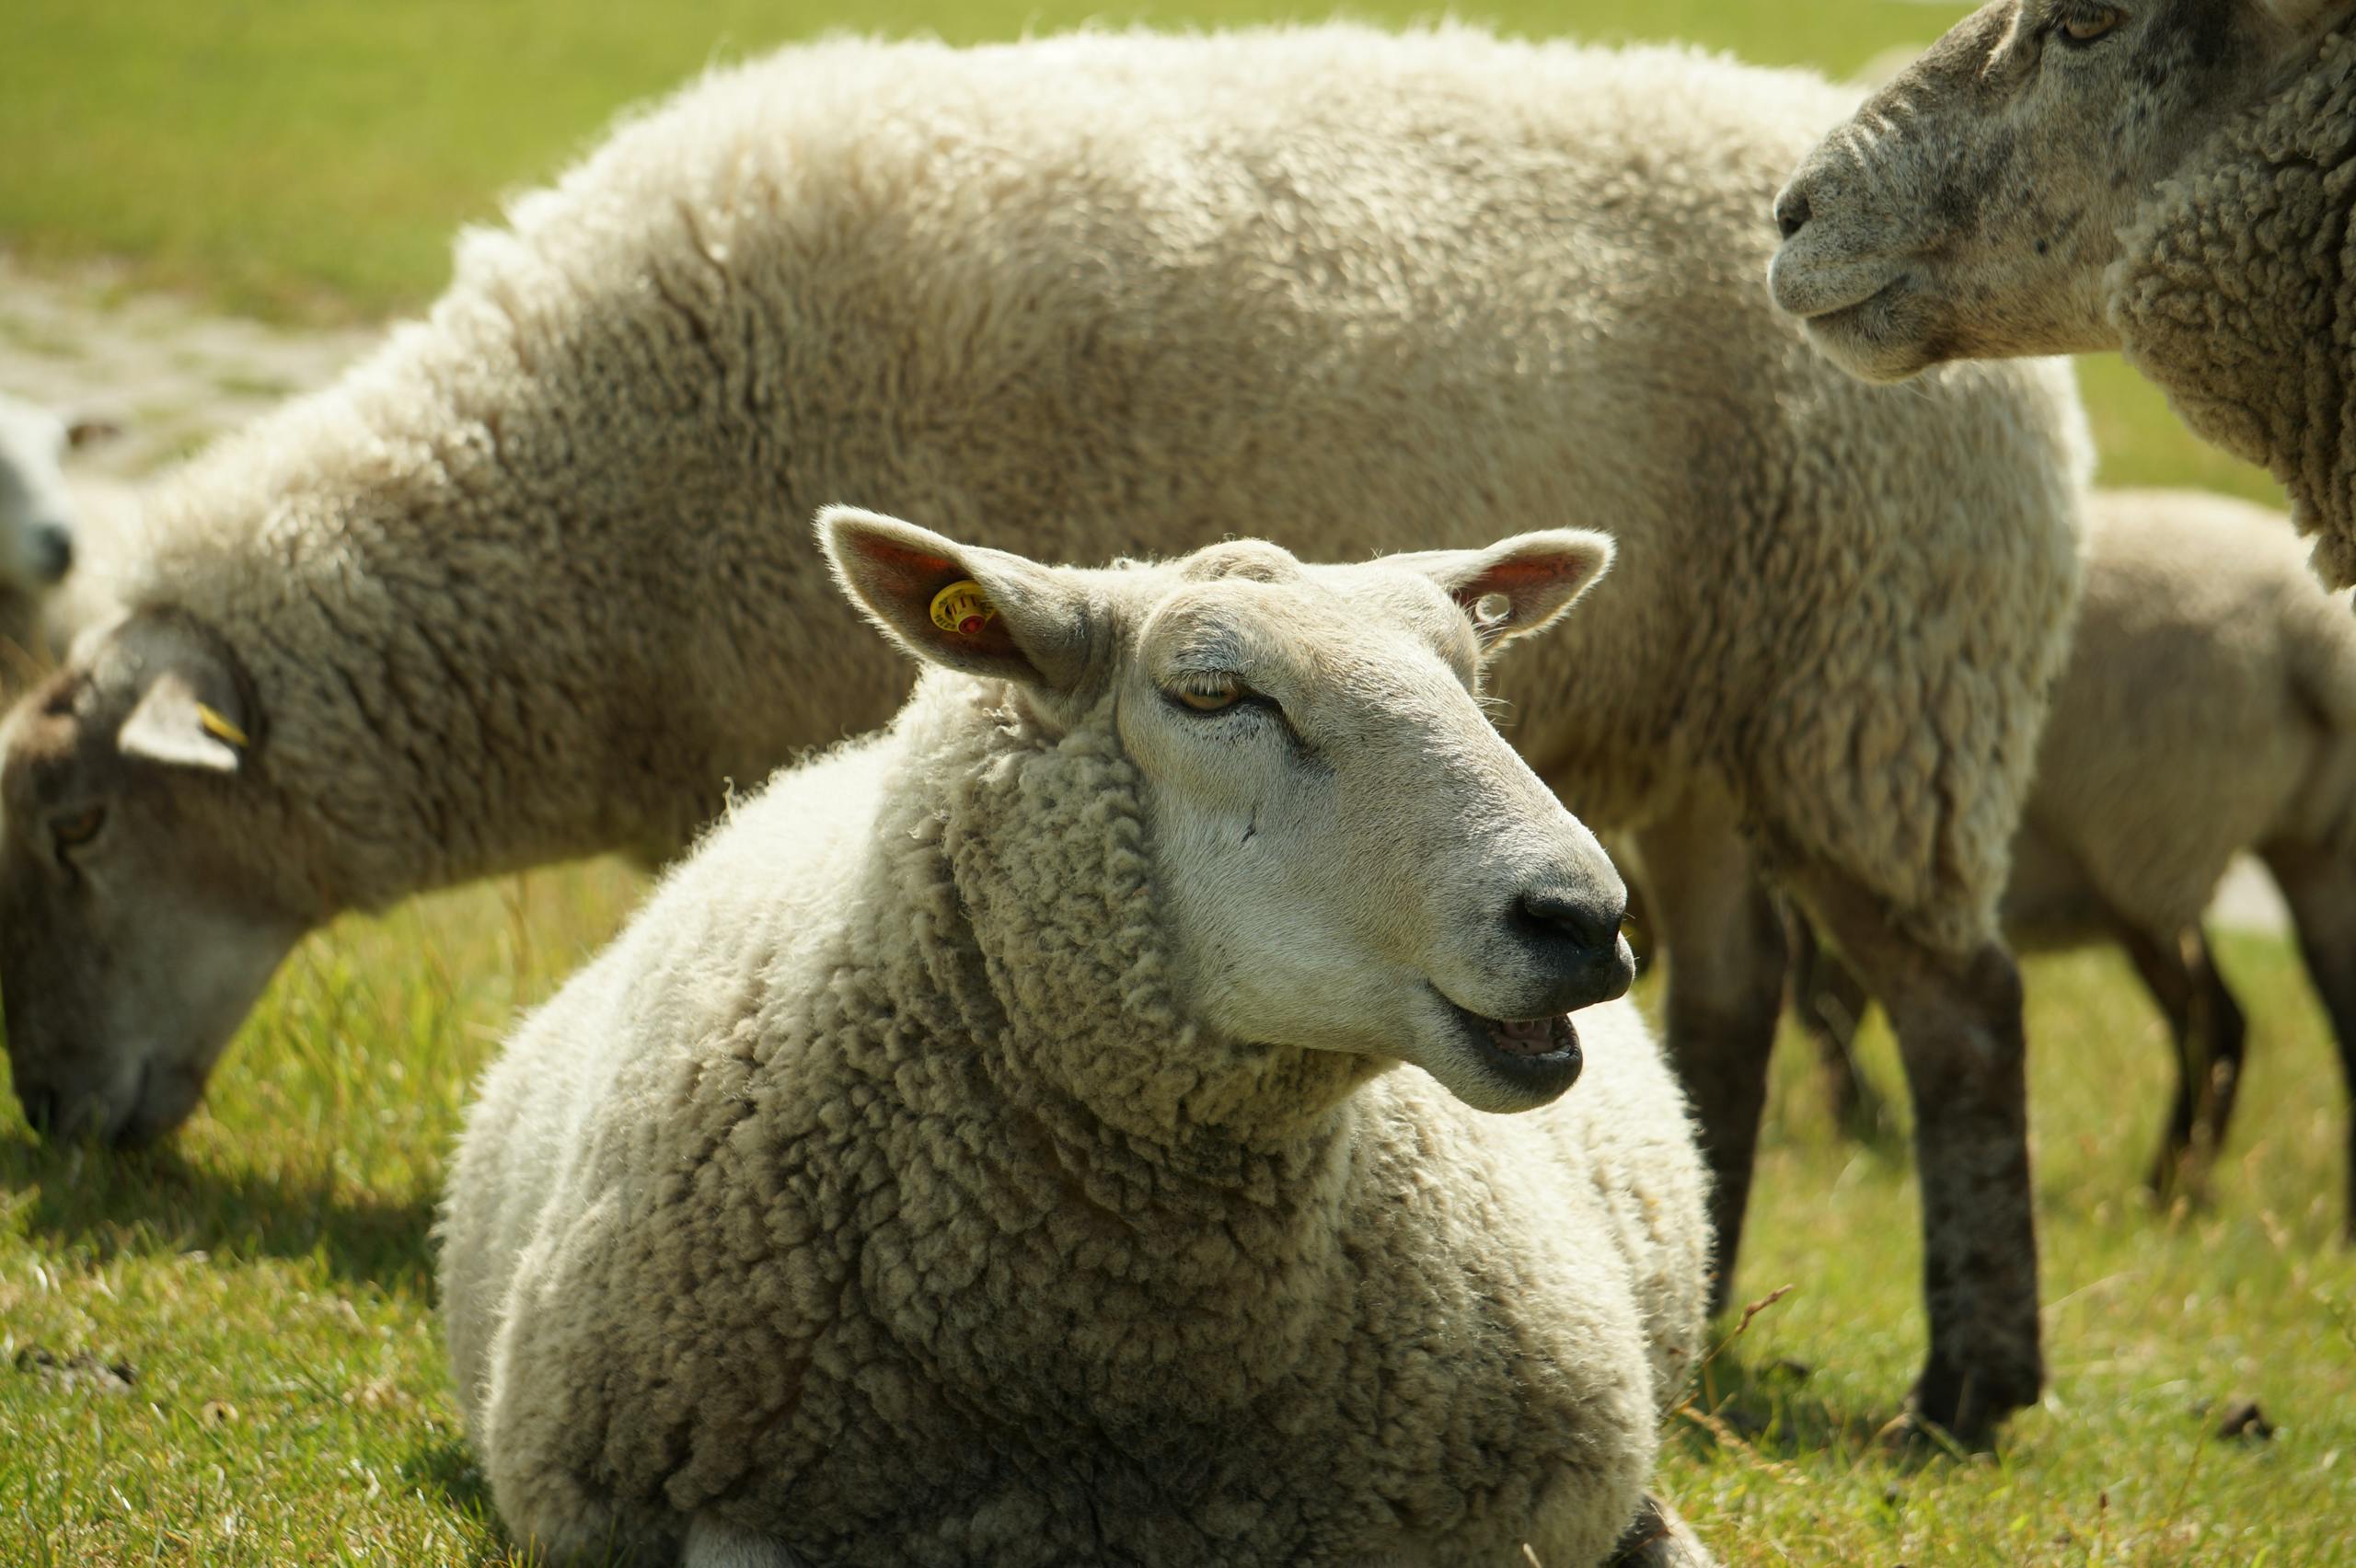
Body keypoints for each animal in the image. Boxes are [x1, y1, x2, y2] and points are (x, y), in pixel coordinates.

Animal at [0, 26, 2089, 1437]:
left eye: (82, 831)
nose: (59, 1122)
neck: (559, 523)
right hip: (1724, 724)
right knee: (1729, 1002)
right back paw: (1713, 1294)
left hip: (1886, 687)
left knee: (1963, 1012)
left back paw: (1972, 1385)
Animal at [1779, 488, 2356, 1232]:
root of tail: (2309, 634)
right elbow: (1832, 996)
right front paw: (1857, 1118)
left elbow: (1819, 1000)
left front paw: (1858, 1120)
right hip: (2312, 855)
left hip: (2146, 840)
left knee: (2213, 1023)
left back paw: (2163, 1191)